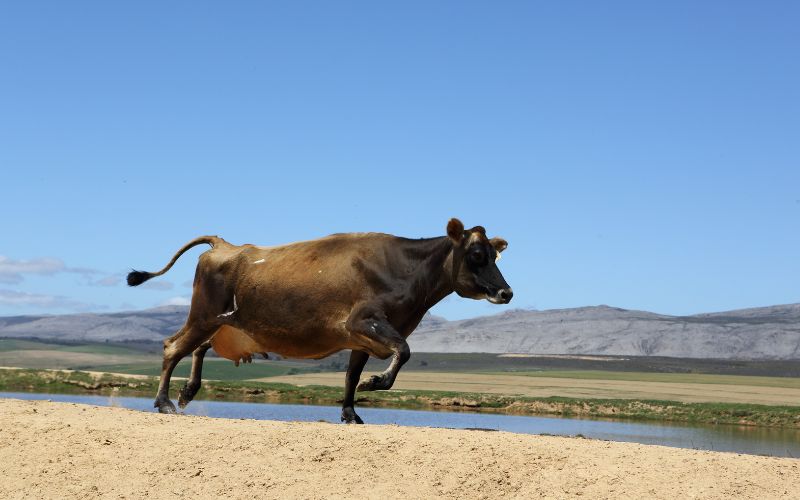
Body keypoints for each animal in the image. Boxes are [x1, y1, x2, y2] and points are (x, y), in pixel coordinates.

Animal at [125, 217, 512, 424]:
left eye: (494, 255)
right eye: (476, 255)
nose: (507, 292)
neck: (407, 272)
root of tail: (227, 245)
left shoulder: (362, 339)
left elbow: (351, 375)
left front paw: (351, 413)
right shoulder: (364, 321)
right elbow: (403, 351)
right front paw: (375, 382)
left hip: (223, 322)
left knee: (196, 347)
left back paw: (187, 392)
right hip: (204, 314)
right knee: (173, 346)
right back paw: (164, 402)